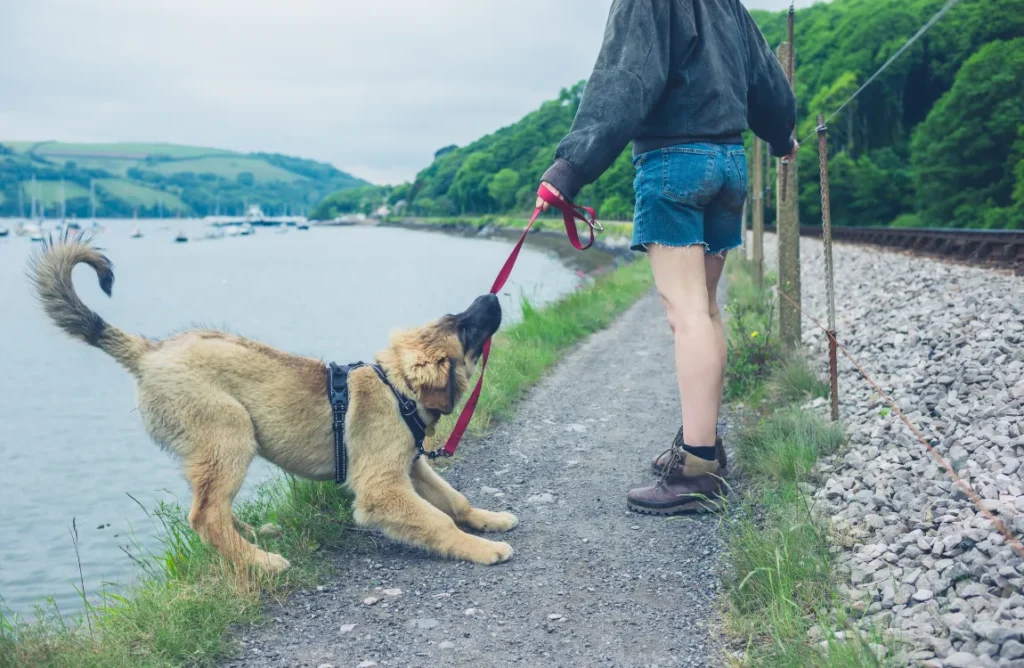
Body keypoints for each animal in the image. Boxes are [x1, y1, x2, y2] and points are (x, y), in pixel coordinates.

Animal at [30, 237, 516, 569]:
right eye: (464, 328)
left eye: (455, 318)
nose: (492, 296)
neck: (398, 390)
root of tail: (148, 351)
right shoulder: (382, 487)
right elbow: (439, 521)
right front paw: (482, 548)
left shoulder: (411, 467)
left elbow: (455, 501)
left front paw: (488, 520)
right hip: (229, 433)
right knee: (205, 516)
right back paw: (259, 562)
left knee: (213, 509)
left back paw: (256, 538)